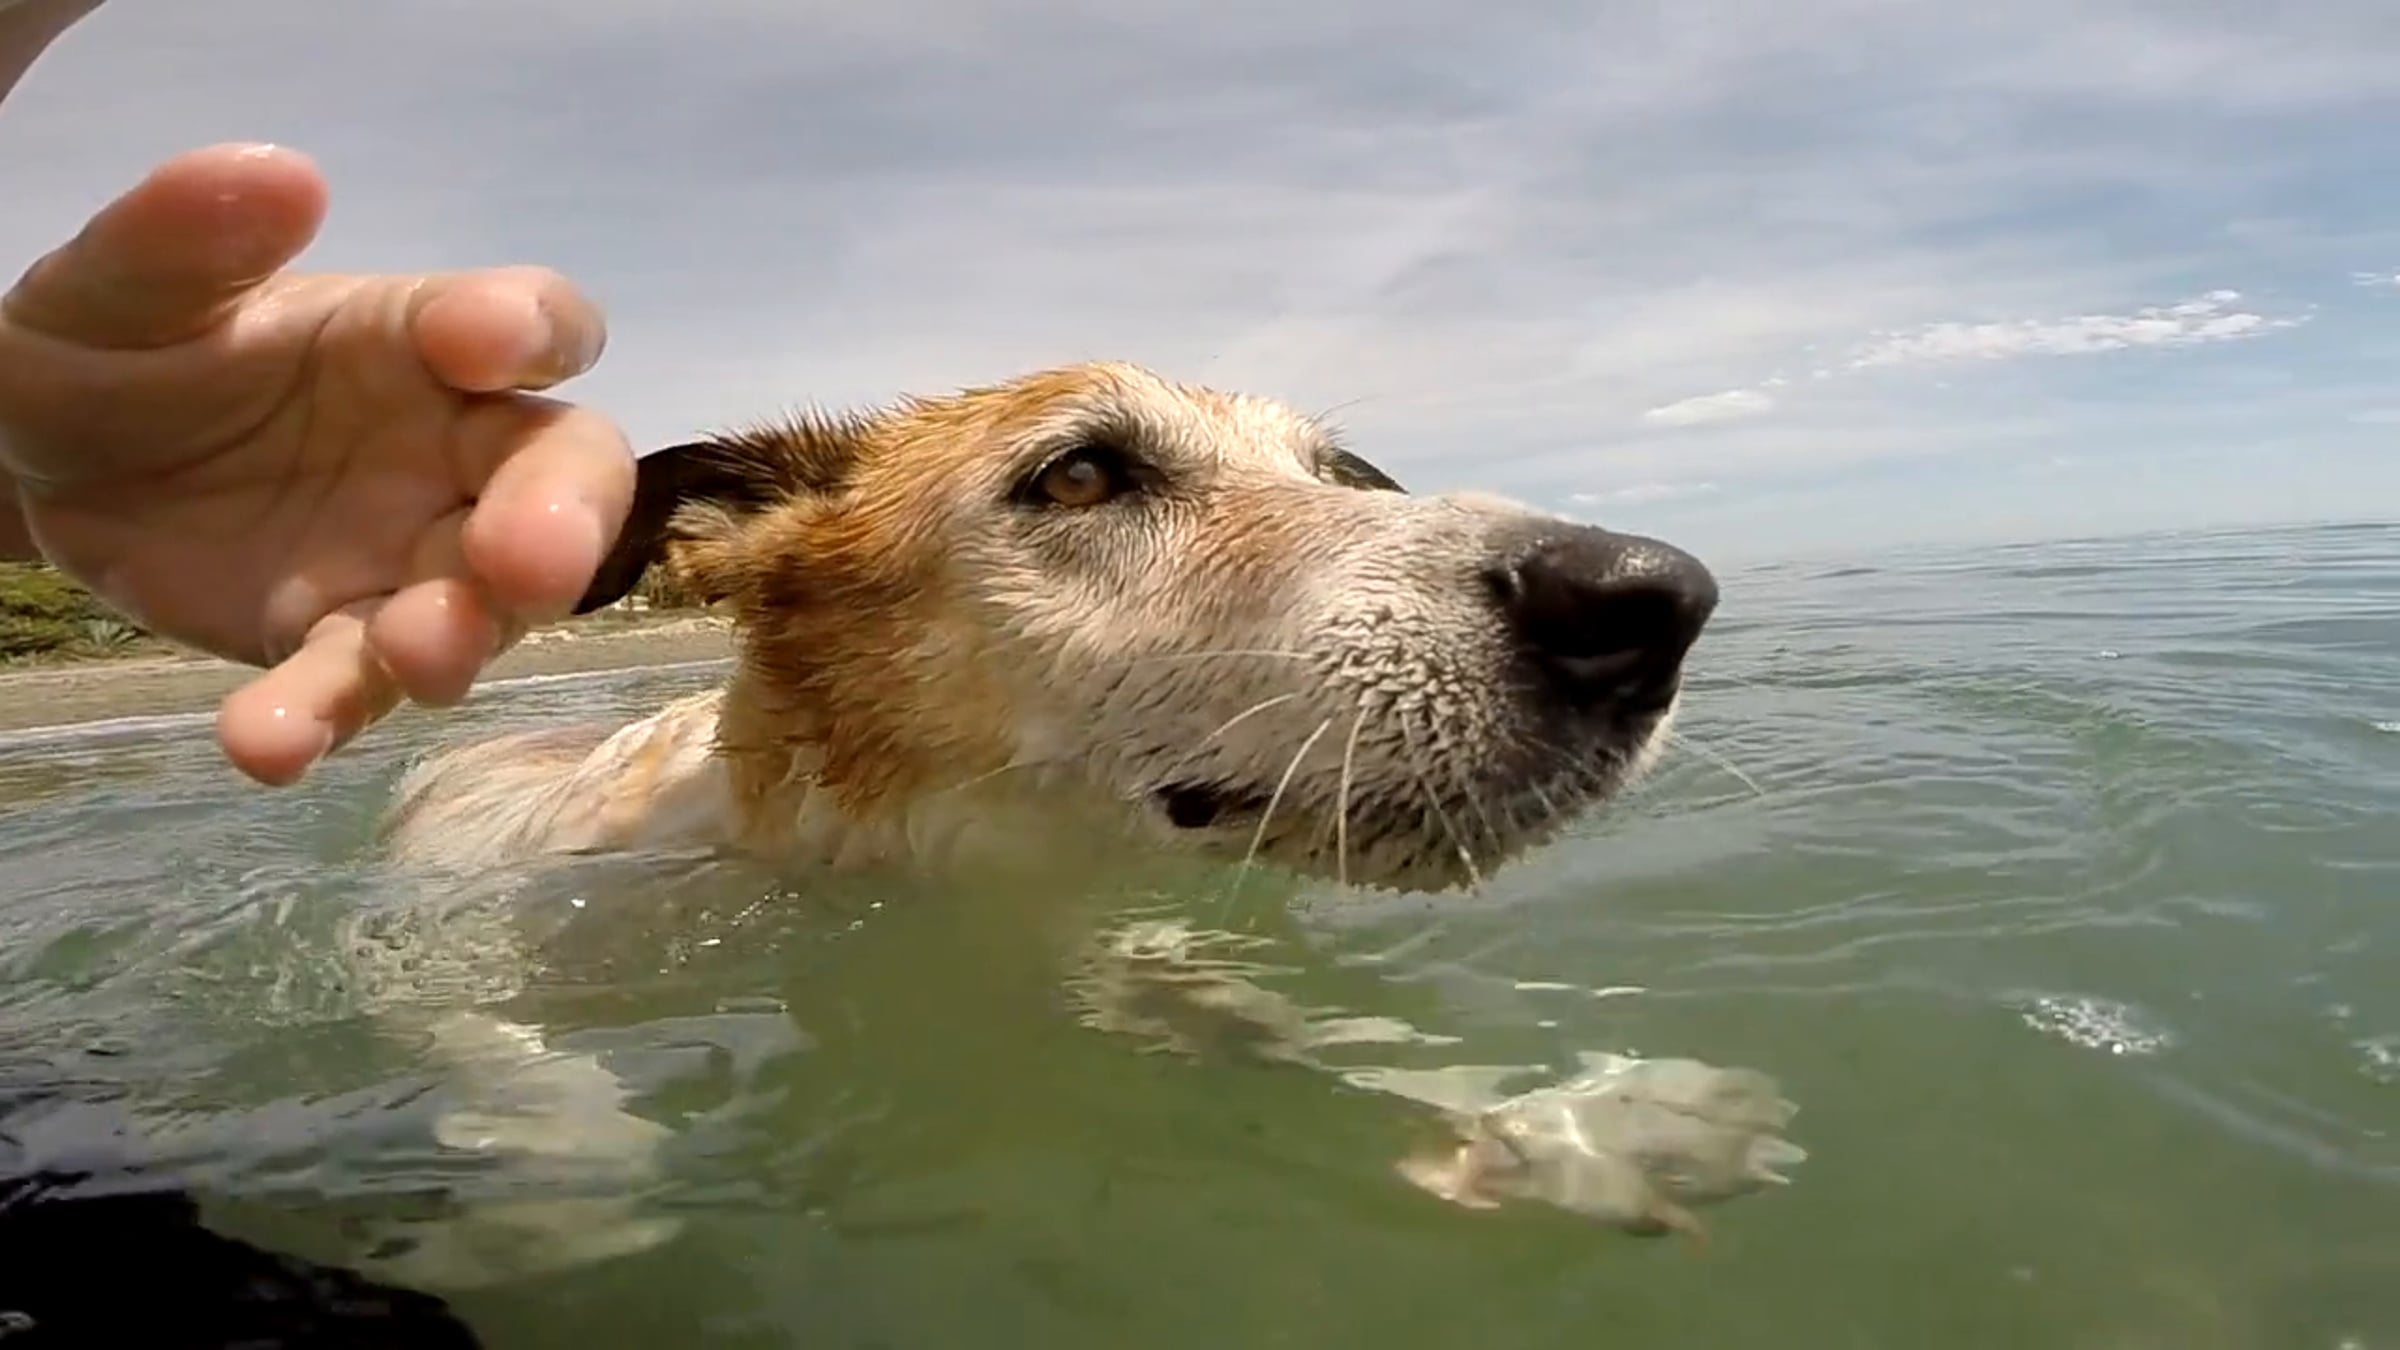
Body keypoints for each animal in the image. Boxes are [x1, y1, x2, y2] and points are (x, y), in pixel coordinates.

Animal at [350, 360, 1722, 1286]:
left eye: (1330, 478)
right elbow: (560, 1114)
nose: (1650, 599)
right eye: (1078, 475)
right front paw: (545, 1226)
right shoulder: (441, 959)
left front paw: (1561, 1123)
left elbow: (1275, 1016)